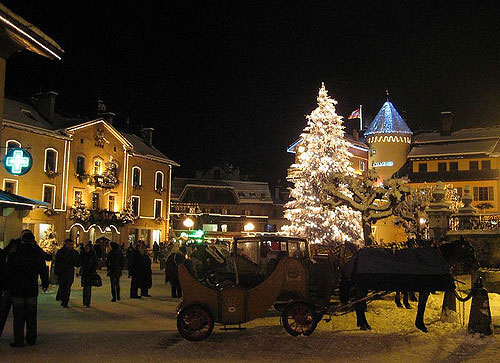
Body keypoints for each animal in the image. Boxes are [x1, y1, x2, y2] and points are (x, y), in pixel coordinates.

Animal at [342, 239, 478, 332]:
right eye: (469, 250)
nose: (477, 265)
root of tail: (355, 256)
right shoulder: (424, 289)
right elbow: (421, 306)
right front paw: (421, 325)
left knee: (358, 304)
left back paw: (362, 324)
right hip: (362, 287)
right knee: (359, 304)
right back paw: (364, 324)